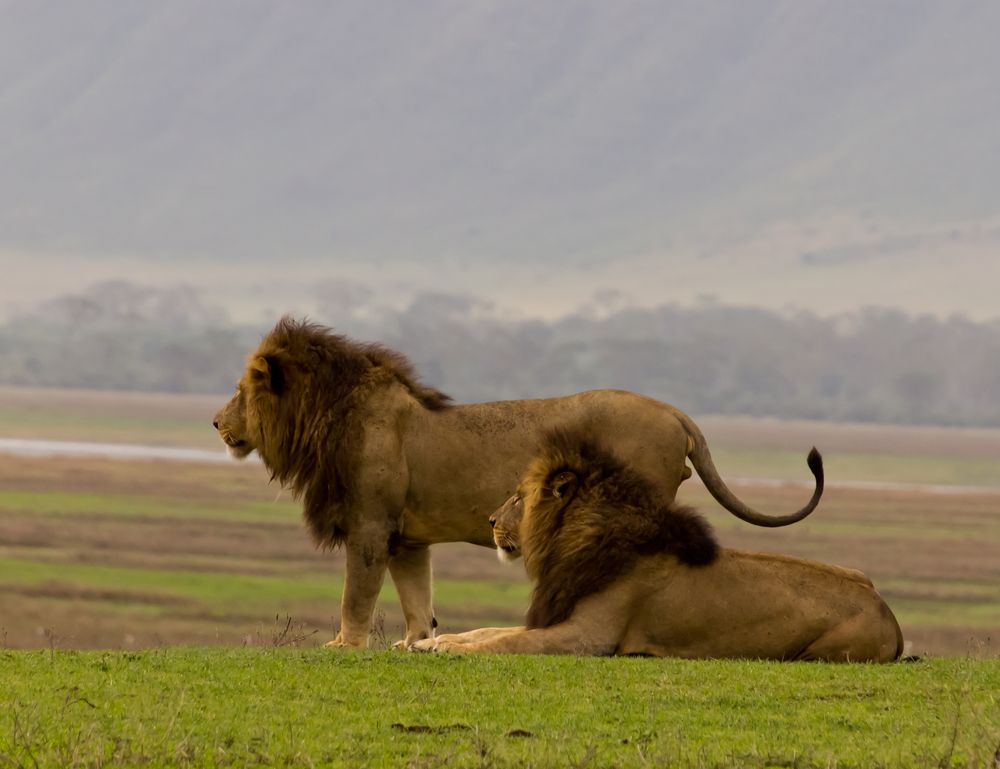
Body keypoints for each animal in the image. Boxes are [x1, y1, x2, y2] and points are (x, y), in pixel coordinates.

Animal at [215, 316, 824, 648]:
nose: (217, 423)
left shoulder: (370, 526)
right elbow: (417, 600)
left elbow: (355, 595)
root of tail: (674, 412)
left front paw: (345, 646)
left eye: (242, 390)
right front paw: (414, 644)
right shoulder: (406, 539)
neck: (328, 417)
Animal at [410, 426, 904, 660]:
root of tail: (888, 613)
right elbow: (491, 631)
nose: (491, 520)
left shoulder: (589, 637)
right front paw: (426, 643)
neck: (572, 541)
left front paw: (447, 648)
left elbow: (506, 642)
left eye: (519, 496)